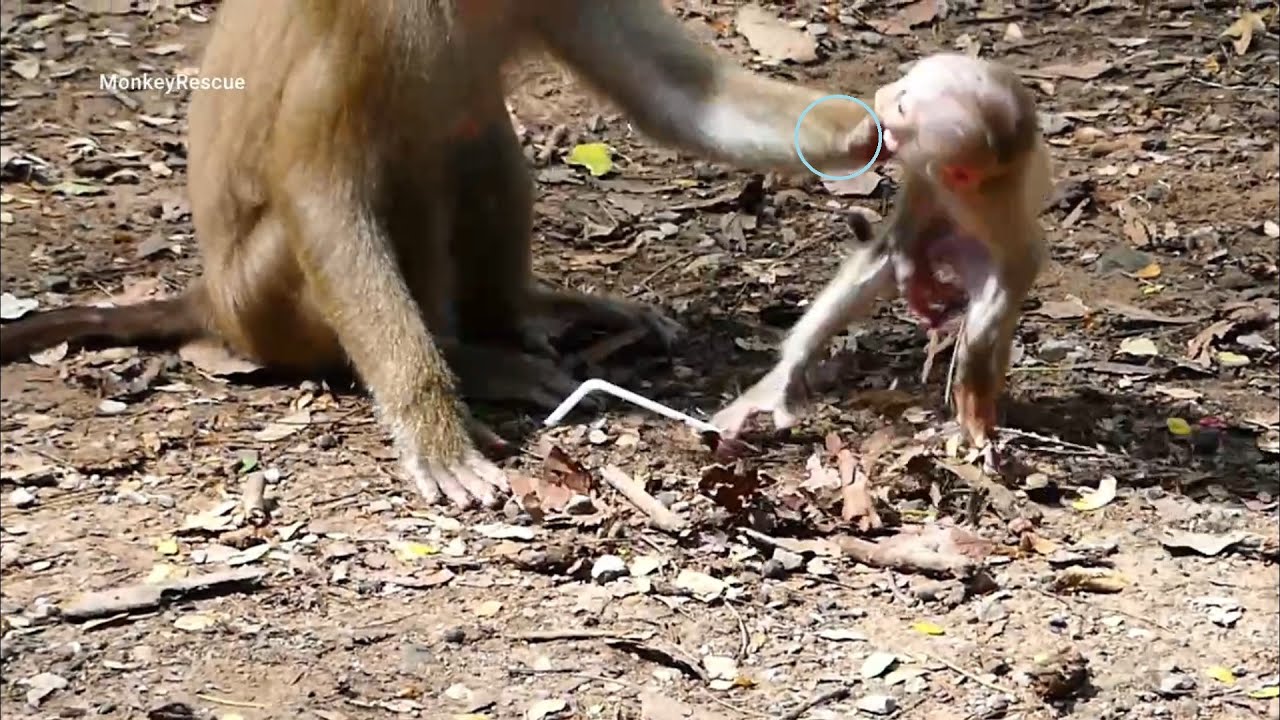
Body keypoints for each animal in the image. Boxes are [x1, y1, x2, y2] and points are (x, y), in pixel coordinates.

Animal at [0, 0, 884, 509]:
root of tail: (215, 300)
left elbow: (675, 92)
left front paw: (862, 127)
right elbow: (319, 185)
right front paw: (432, 426)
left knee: (472, 131)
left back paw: (530, 317)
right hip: (267, 297)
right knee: (407, 160)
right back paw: (473, 357)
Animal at [712, 53, 1054, 450]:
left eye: (903, 105)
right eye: (904, 83)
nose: (883, 94)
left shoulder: (995, 202)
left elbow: (1019, 264)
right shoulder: (929, 174)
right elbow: (907, 230)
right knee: (879, 261)